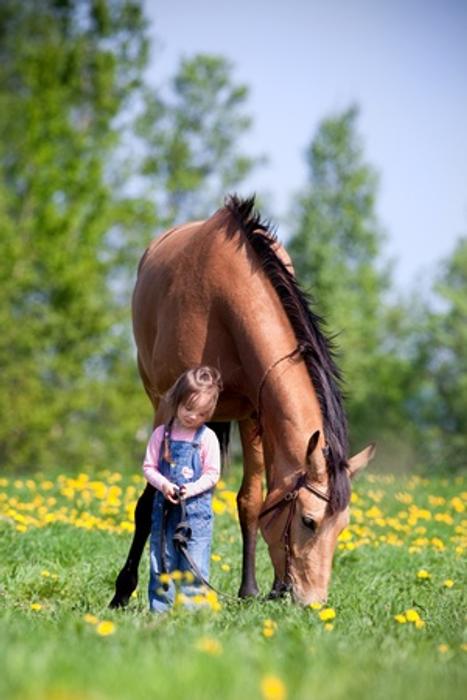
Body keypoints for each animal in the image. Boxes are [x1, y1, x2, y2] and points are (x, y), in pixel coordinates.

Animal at [109, 195, 375, 608]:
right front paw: (123, 591)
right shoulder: (168, 404)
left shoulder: (255, 412)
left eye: (342, 526)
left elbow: (252, 501)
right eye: (309, 521)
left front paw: (252, 589)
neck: (227, 299)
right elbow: (150, 500)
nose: (313, 602)